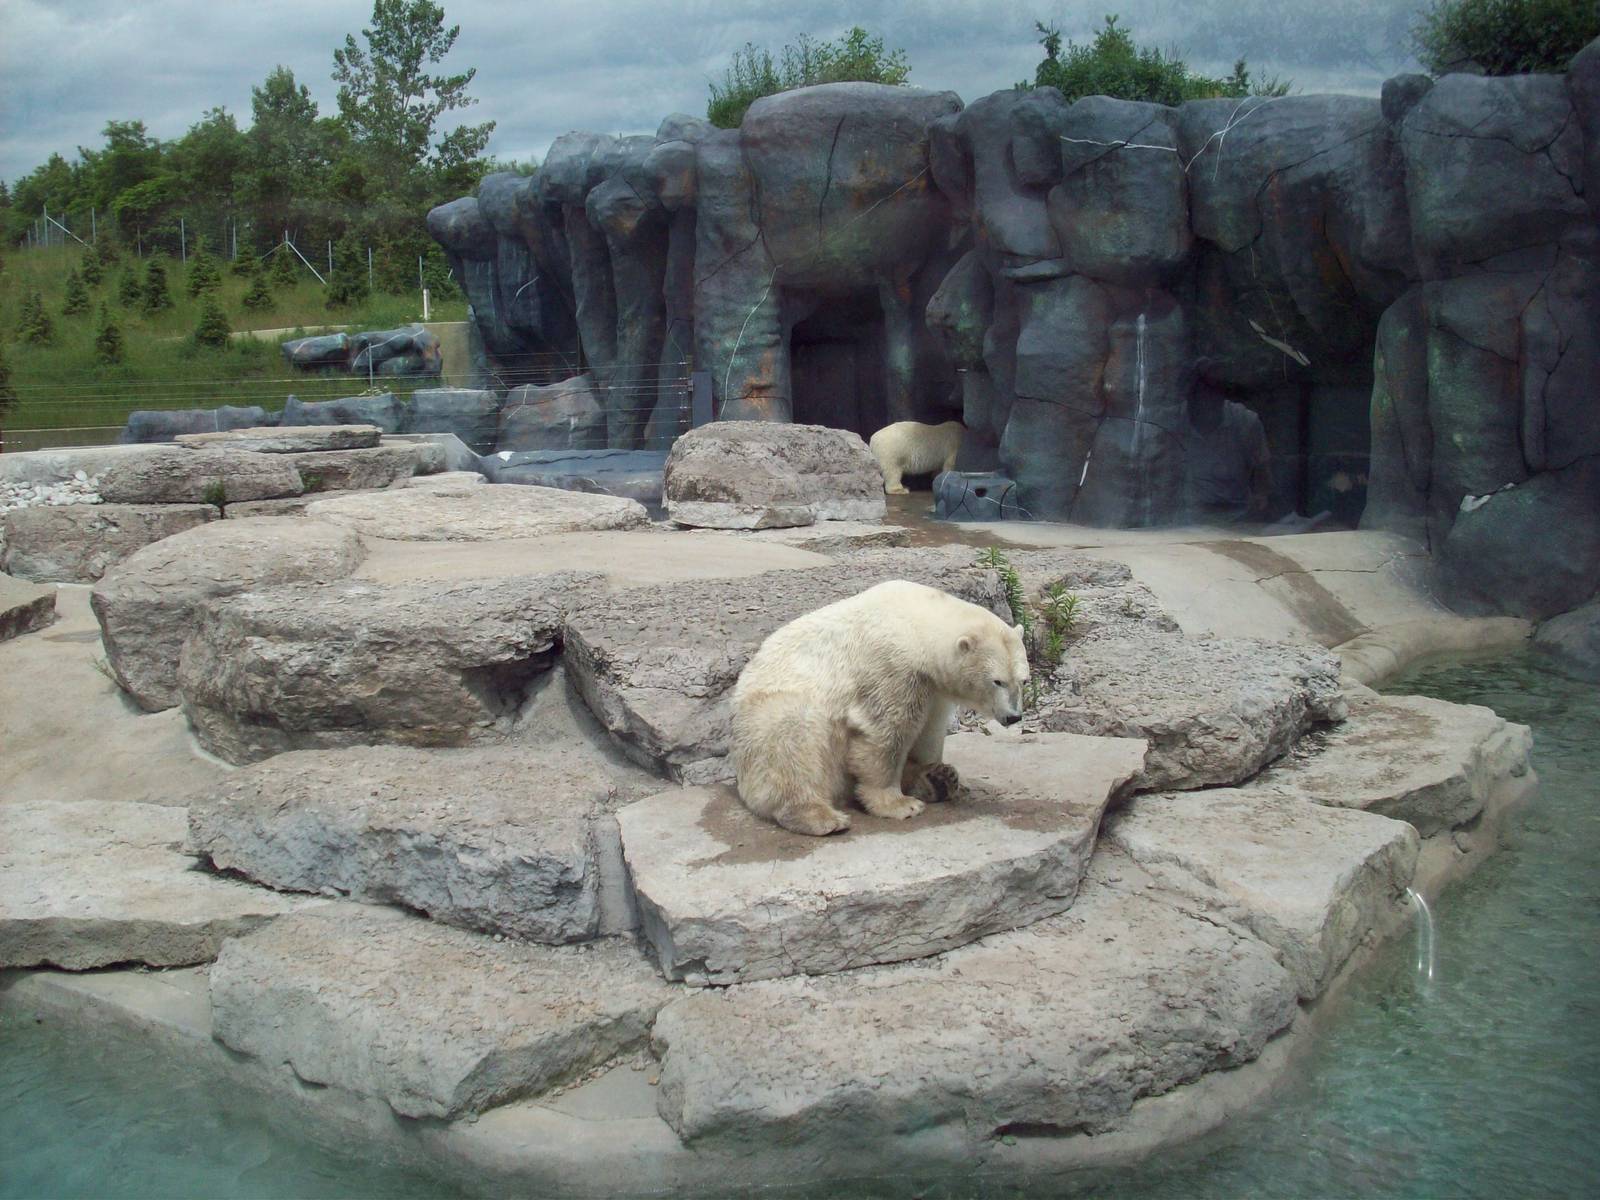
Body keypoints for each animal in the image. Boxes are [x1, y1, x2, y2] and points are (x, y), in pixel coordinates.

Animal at [729, 580, 1029, 836]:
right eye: (997, 681)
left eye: (1023, 679)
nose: (1014, 716)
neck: (916, 622)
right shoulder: (890, 666)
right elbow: (886, 733)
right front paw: (899, 804)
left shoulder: (933, 687)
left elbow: (929, 729)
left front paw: (927, 775)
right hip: (773, 712)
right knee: (793, 744)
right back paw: (822, 818)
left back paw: (939, 779)